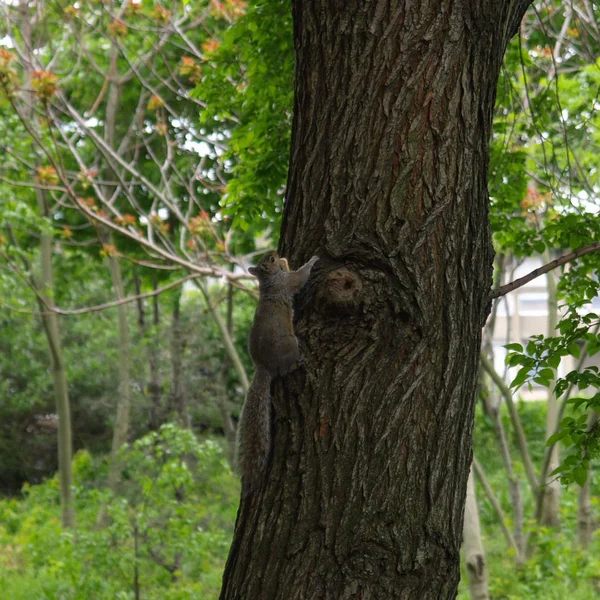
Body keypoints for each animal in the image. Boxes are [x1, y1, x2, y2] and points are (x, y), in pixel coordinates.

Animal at [234, 250, 322, 492]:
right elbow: (300, 277)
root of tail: (263, 367)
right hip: (290, 345)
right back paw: (299, 362)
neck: (269, 281)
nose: (275, 253)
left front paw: (286, 261)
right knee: (286, 369)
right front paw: (313, 260)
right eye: (270, 260)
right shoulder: (287, 283)